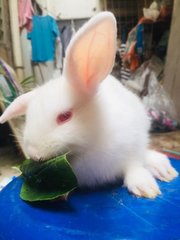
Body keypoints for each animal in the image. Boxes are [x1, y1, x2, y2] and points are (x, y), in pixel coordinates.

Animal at [0, 12, 177, 198]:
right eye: (28, 118)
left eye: (65, 117)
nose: (34, 154)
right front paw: (62, 195)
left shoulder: (132, 149)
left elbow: (134, 167)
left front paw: (146, 188)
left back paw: (164, 170)